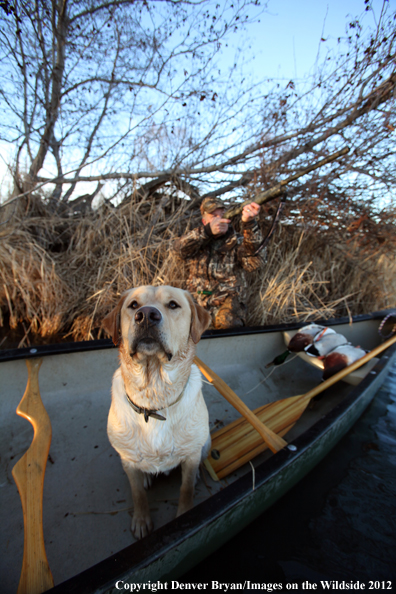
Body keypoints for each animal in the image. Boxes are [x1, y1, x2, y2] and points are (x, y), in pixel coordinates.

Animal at [103, 284, 212, 540]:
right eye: (133, 305)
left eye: (173, 304)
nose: (145, 316)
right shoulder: (127, 458)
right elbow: (137, 494)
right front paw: (142, 520)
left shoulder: (191, 454)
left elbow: (185, 488)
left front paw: (185, 513)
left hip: (206, 442)